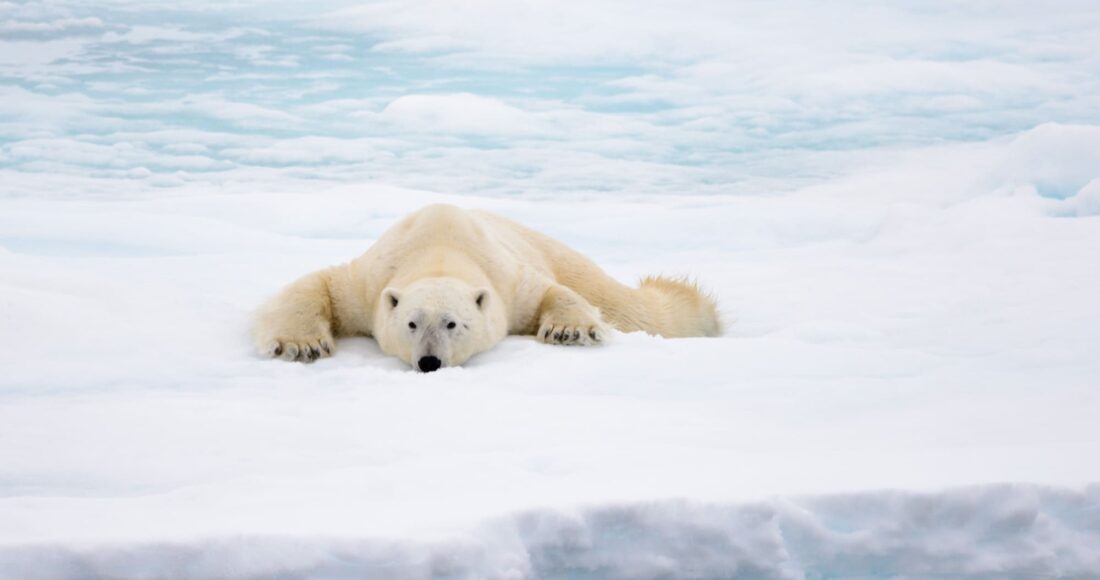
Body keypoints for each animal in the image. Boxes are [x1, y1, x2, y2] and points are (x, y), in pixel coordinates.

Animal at [252, 204, 722, 372]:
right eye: (411, 323)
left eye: (453, 323)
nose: (429, 363)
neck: (439, 248)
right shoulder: (369, 280)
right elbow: (321, 285)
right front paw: (302, 345)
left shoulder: (508, 280)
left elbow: (550, 292)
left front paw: (568, 330)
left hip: (558, 253)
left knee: (633, 306)